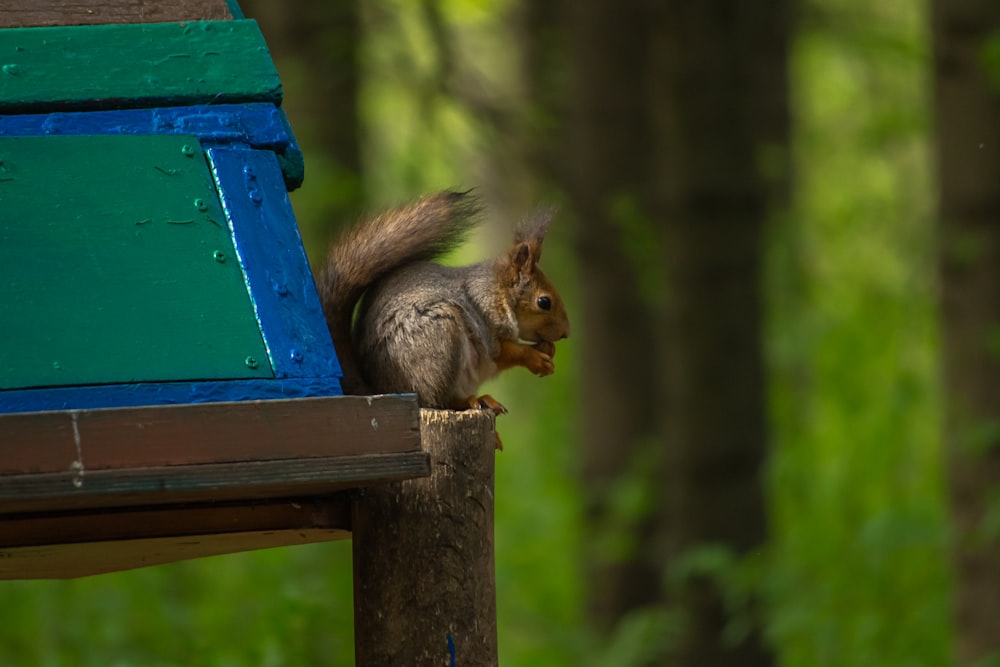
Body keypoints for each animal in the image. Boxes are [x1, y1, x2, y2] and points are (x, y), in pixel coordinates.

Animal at [320, 188, 572, 428]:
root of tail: (380, 389)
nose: (566, 333)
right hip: (441, 340)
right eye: (544, 302)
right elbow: (506, 352)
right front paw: (536, 358)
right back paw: (473, 401)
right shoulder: (486, 322)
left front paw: (548, 349)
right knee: (438, 402)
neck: (497, 291)